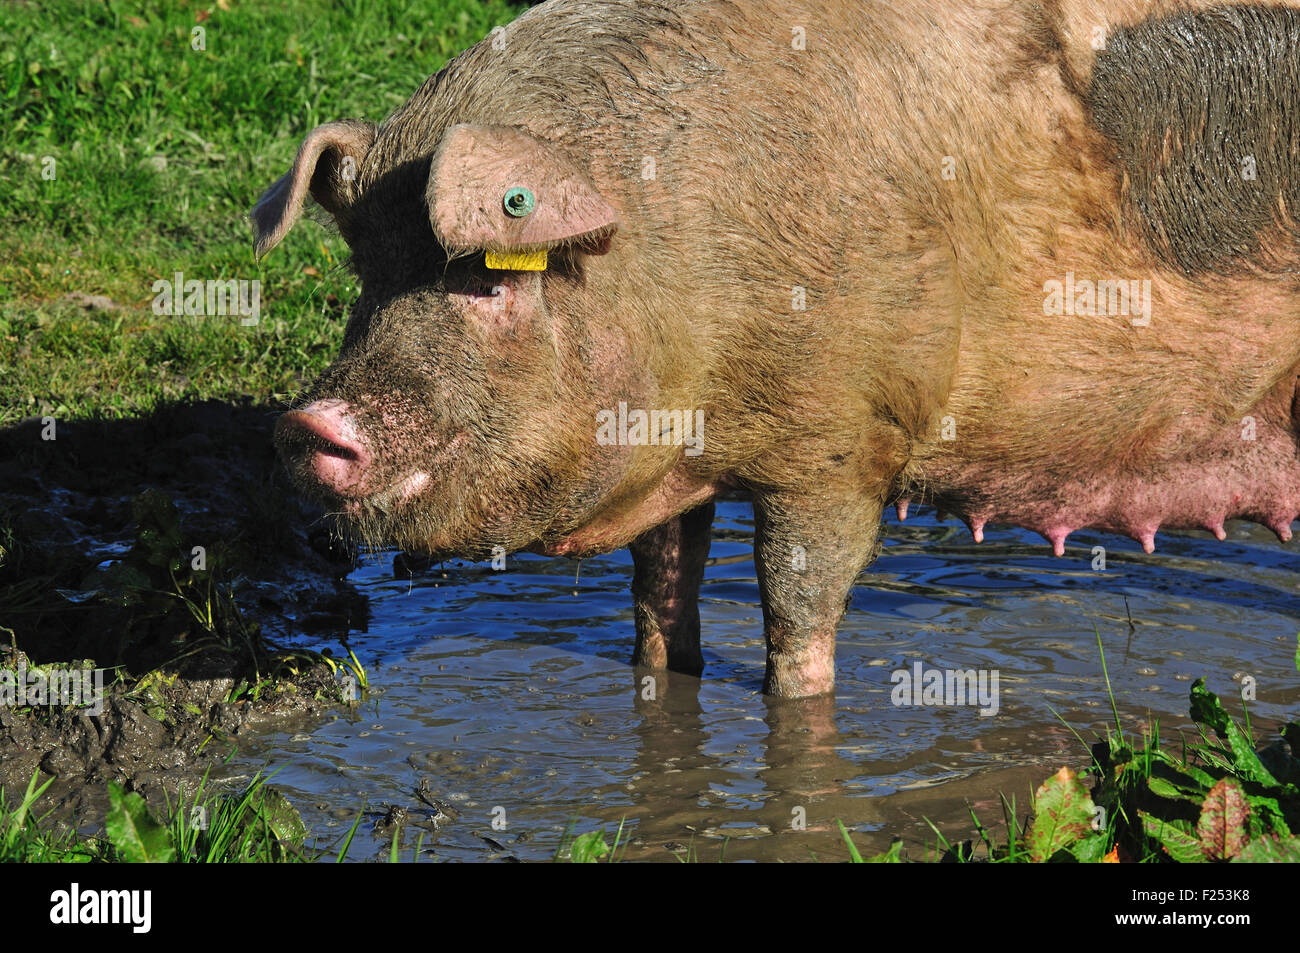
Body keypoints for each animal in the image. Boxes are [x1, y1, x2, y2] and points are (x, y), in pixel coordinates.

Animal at [258, 0, 1300, 696]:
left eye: (488, 278)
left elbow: (798, 606)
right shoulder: (676, 462)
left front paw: (795, 708)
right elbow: (658, 593)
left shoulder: (843, 440)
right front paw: (662, 677)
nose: (310, 422)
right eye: (366, 271)